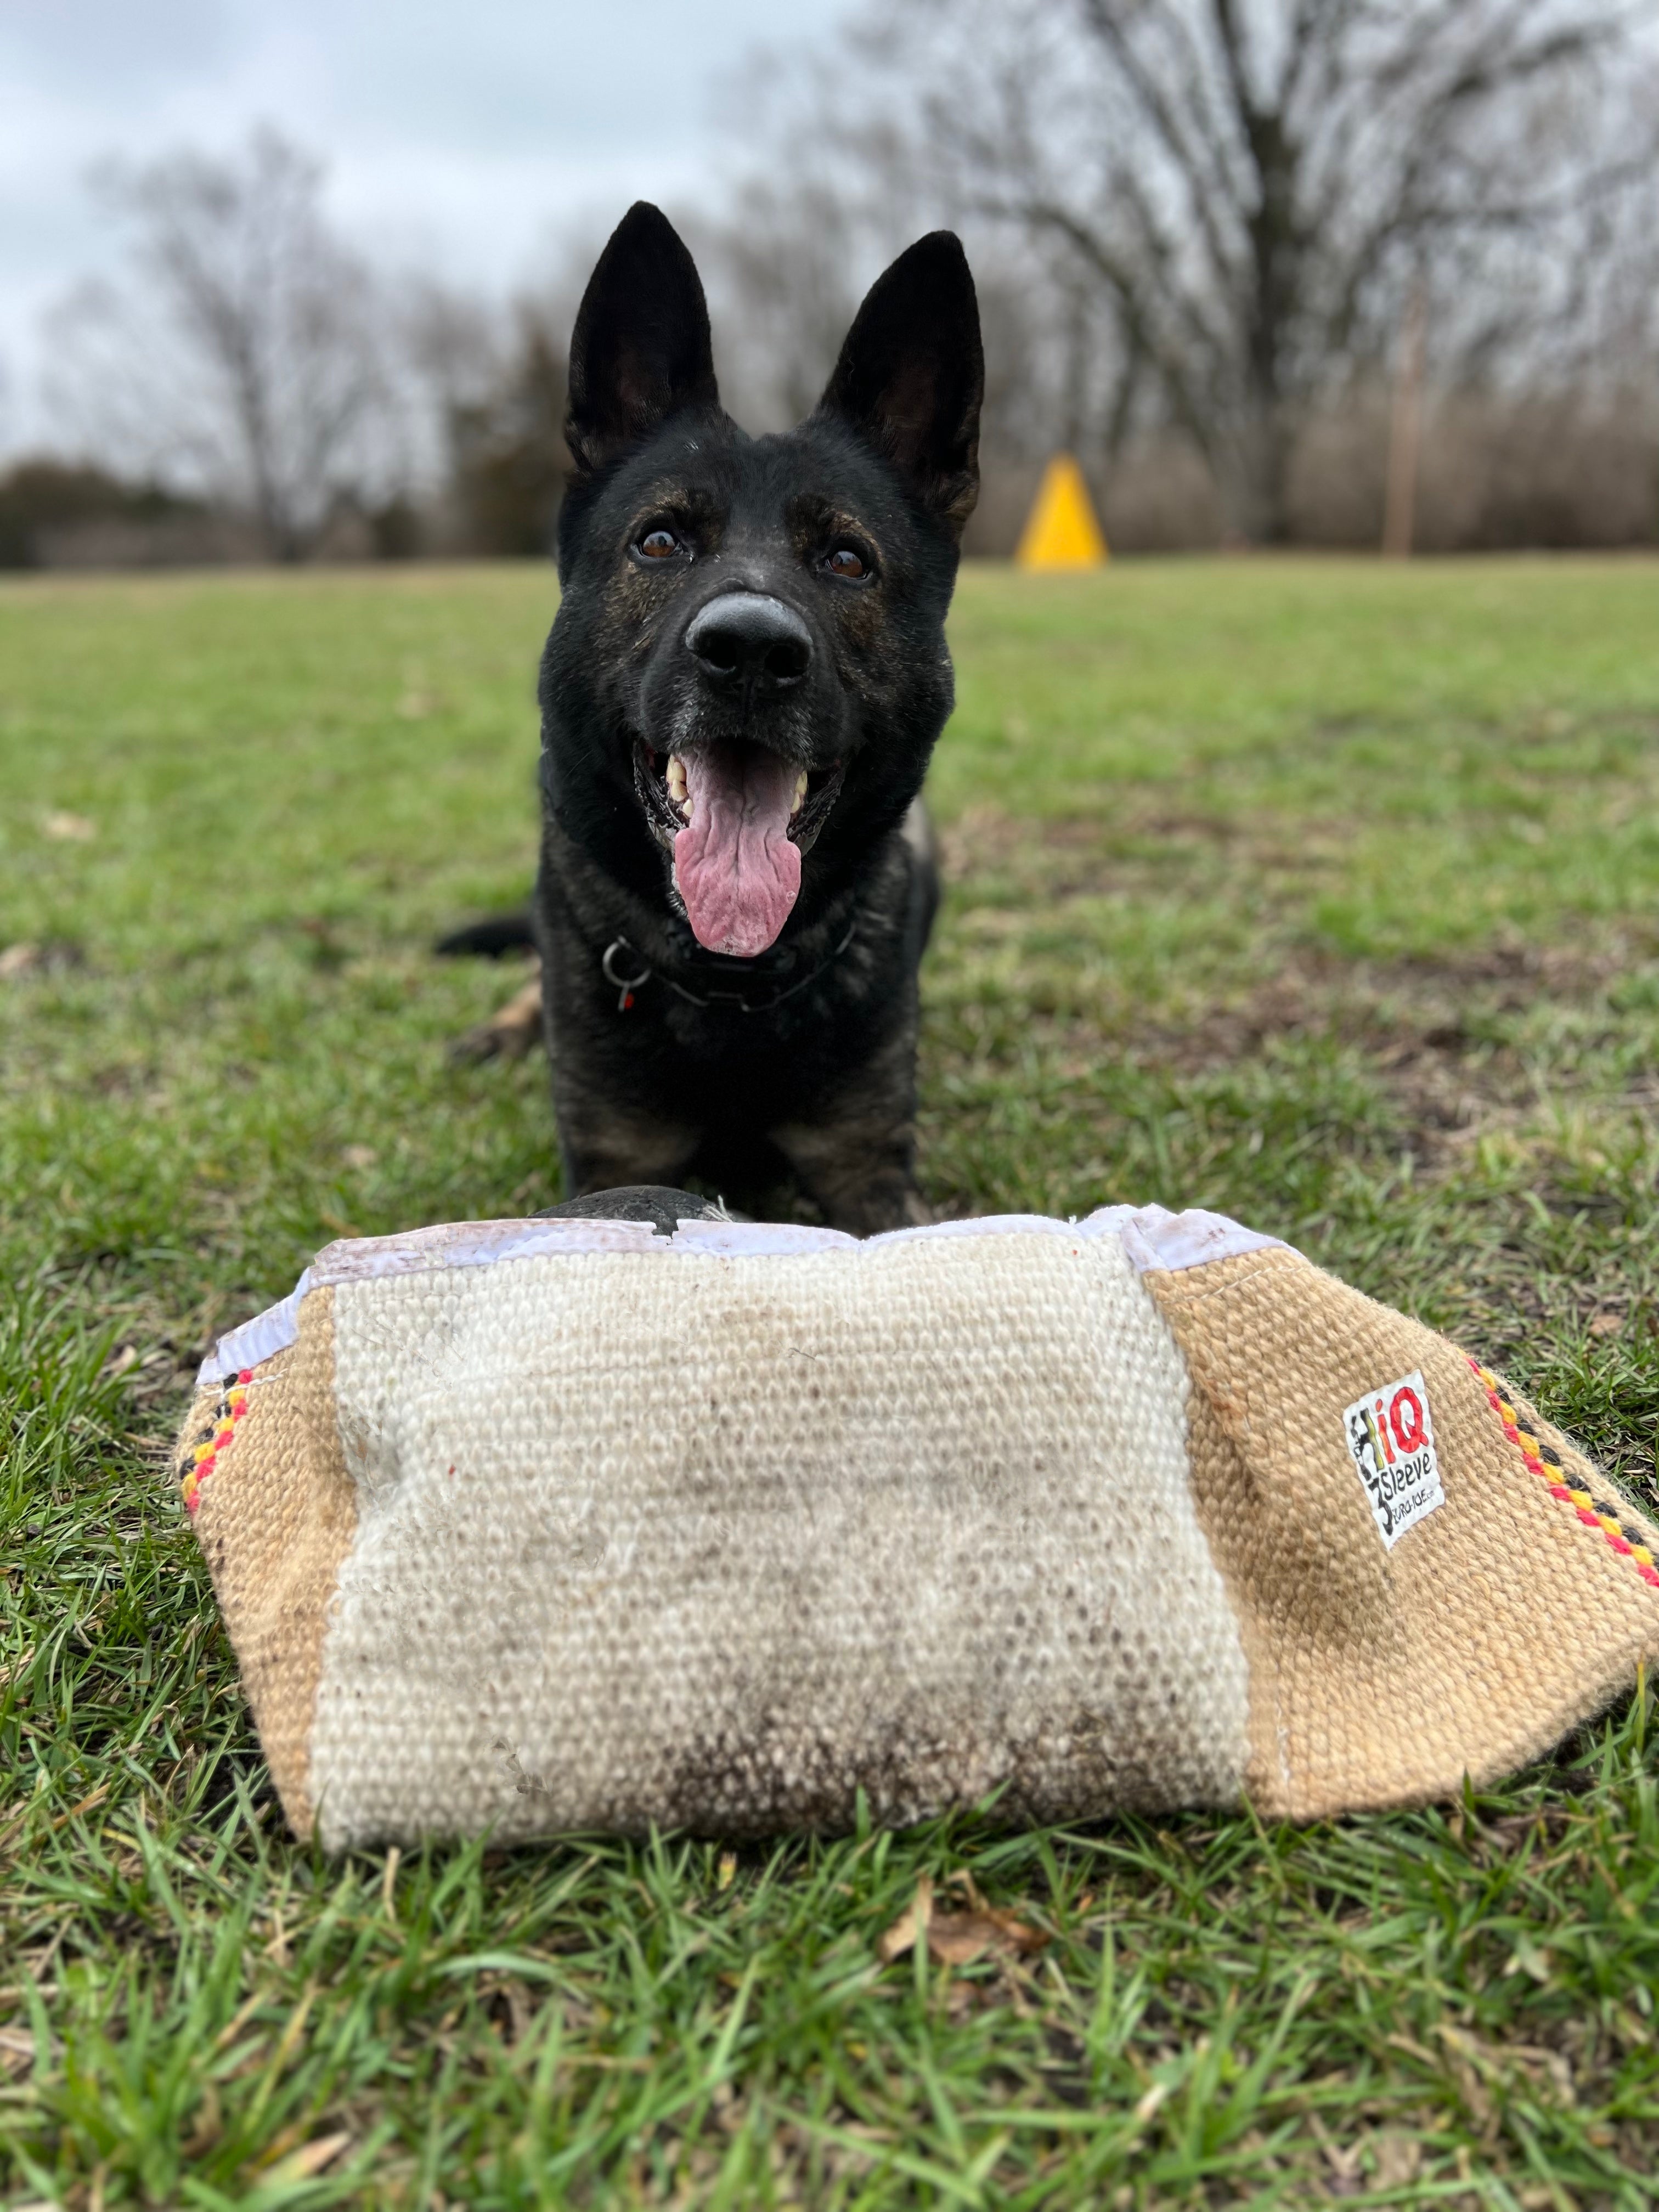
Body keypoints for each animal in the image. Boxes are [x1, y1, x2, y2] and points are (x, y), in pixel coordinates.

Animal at [487, 203, 982, 1248]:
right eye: (660, 541)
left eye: (846, 560)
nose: (750, 650)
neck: (731, 985)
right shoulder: (612, 1160)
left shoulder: (870, 1174)